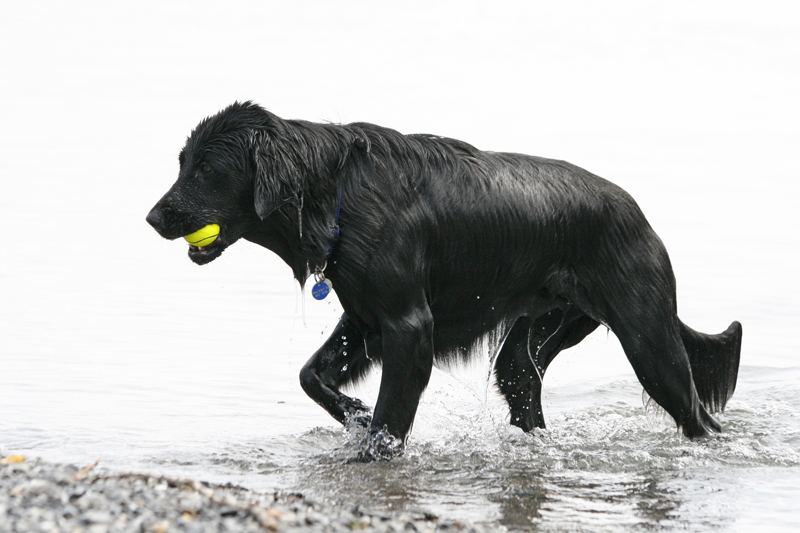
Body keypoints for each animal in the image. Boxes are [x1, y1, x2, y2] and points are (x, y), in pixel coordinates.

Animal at [147, 102, 740, 460]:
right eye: (181, 163)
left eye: (205, 170)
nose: (153, 218)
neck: (336, 194)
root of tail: (638, 212)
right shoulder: (363, 318)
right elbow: (311, 376)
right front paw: (355, 414)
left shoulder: (408, 326)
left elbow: (390, 419)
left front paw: (370, 444)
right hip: (533, 341)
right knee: (524, 388)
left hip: (648, 340)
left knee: (698, 415)